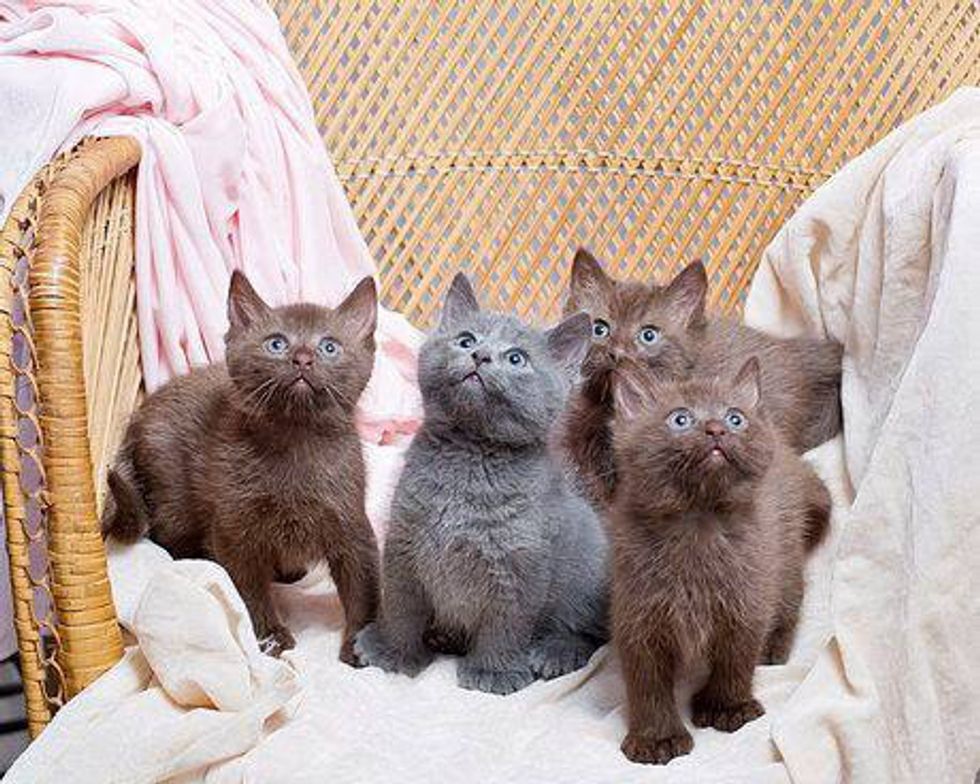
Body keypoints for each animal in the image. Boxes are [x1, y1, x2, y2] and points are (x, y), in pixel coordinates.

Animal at [102, 270, 380, 662]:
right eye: (276, 343)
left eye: (329, 346)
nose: (303, 358)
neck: (294, 442)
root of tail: (137, 418)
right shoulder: (234, 530)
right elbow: (247, 590)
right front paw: (269, 636)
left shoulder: (351, 523)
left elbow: (362, 587)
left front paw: (361, 646)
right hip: (172, 498)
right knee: (167, 538)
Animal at [354, 273, 609, 695]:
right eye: (466, 339)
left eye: (517, 358)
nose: (480, 356)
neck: (470, 457)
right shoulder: (404, 542)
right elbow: (402, 604)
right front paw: (392, 651)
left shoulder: (519, 562)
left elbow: (505, 623)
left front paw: (494, 672)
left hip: (587, 576)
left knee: (589, 635)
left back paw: (555, 652)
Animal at [609, 357, 830, 764]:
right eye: (680, 419)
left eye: (735, 417)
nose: (716, 429)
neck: (699, 523)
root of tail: (789, 455)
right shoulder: (638, 615)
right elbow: (647, 684)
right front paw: (656, 738)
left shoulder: (746, 602)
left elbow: (736, 660)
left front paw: (726, 707)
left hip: (784, 552)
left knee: (790, 599)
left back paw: (774, 648)